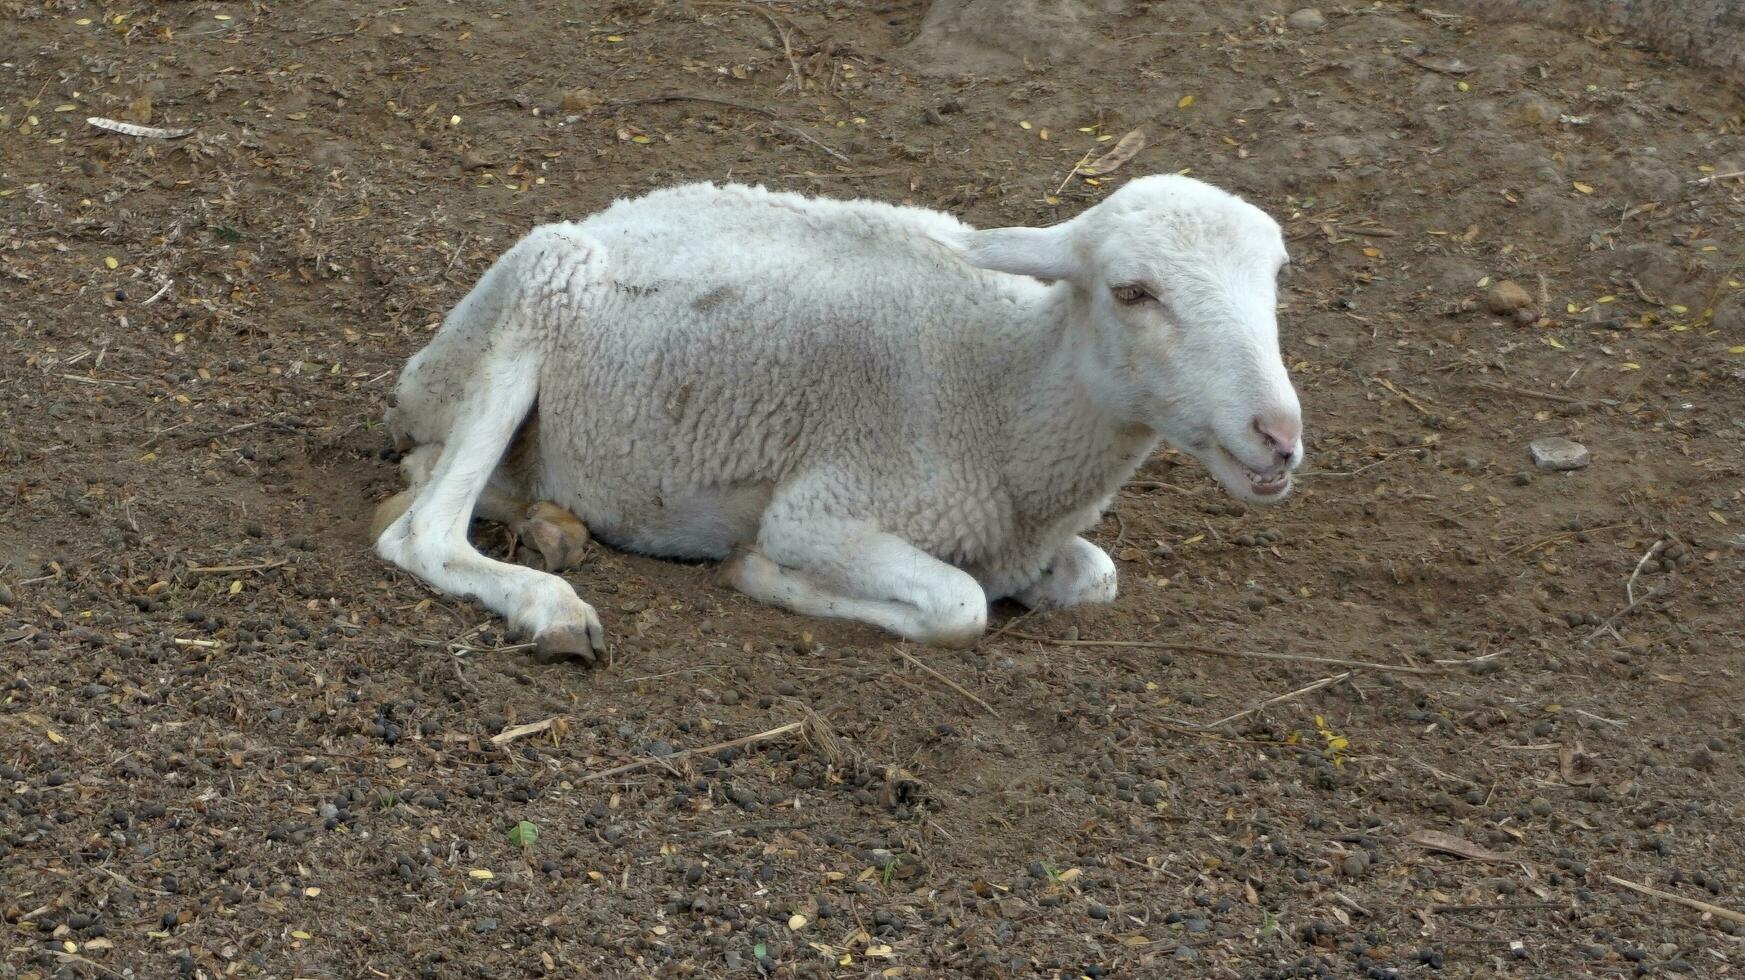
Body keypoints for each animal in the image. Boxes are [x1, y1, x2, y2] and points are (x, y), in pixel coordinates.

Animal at [375, 175, 1305, 662]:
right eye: (1132, 291)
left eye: (1275, 278)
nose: (1279, 436)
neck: (1006, 387)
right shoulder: (824, 510)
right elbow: (959, 604)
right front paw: (761, 575)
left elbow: (1095, 577)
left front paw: (1051, 583)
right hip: (536, 293)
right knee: (421, 533)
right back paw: (551, 605)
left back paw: (549, 523)